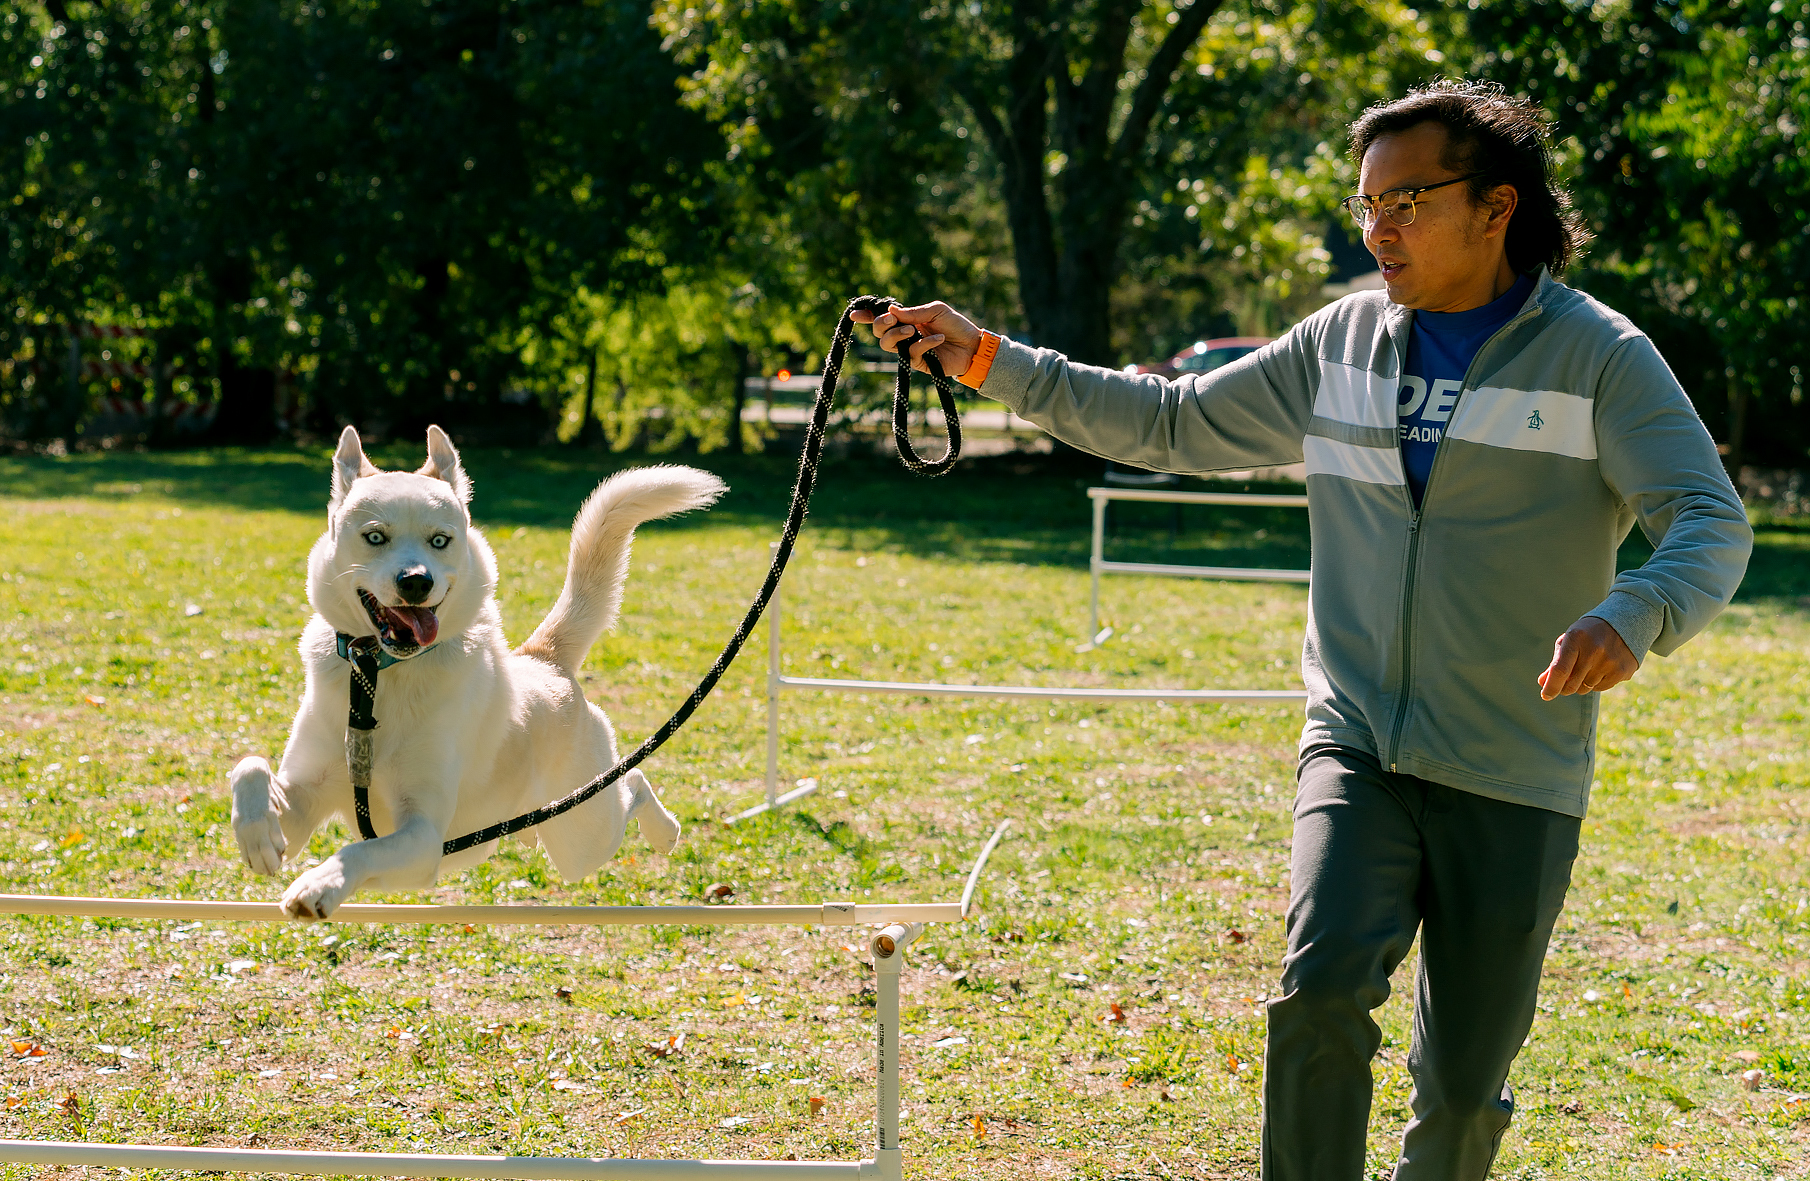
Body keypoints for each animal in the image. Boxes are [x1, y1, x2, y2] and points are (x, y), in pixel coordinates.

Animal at [229, 427, 724, 923]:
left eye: (440, 541)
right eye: (375, 537)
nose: (416, 582)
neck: (379, 677)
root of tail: (545, 659)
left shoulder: (424, 839)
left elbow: (358, 851)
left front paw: (320, 883)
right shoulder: (304, 799)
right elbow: (250, 768)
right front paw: (259, 839)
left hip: (582, 835)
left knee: (631, 784)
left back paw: (665, 829)